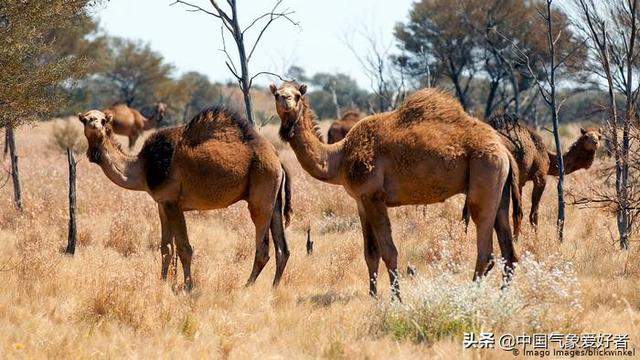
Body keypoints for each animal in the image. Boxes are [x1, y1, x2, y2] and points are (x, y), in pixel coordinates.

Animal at [78, 106, 296, 290]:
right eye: (85, 119)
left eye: (103, 120)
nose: (94, 123)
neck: (143, 168)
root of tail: (277, 158)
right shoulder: (162, 204)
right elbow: (166, 247)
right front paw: (163, 283)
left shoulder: (173, 203)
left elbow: (184, 248)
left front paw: (188, 287)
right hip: (274, 199)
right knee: (283, 249)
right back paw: (273, 288)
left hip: (261, 193)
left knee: (263, 249)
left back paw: (246, 287)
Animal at [268, 83, 520, 300]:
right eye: (277, 94)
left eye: (297, 95)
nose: (286, 100)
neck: (338, 158)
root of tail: (505, 151)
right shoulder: (361, 201)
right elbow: (370, 253)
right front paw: (372, 295)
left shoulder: (374, 198)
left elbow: (389, 252)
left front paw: (396, 298)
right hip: (499, 190)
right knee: (509, 252)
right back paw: (502, 297)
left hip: (485, 174)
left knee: (486, 250)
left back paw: (471, 296)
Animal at [462, 113, 604, 231]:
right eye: (586, 136)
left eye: (599, 136)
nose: (595, 143)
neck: (547, 157)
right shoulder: (539, 177)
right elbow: (532, 214)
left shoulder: (520, 182)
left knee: (466, 212)